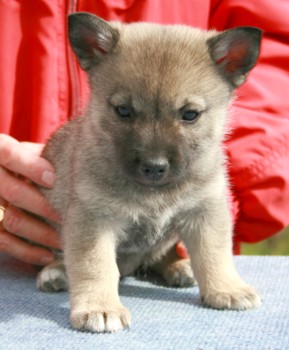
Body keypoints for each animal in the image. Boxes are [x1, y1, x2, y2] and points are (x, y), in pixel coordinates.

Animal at [36, 11, 260, 334]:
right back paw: (55, 272)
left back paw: (178, 266)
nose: (154, 166)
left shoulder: (206, 211)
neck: (155, 192)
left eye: (189, 114)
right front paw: (100, 307)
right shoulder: (93, 219)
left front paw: (226, 288)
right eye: (123, 111)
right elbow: (95, 265)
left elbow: (215, 254)